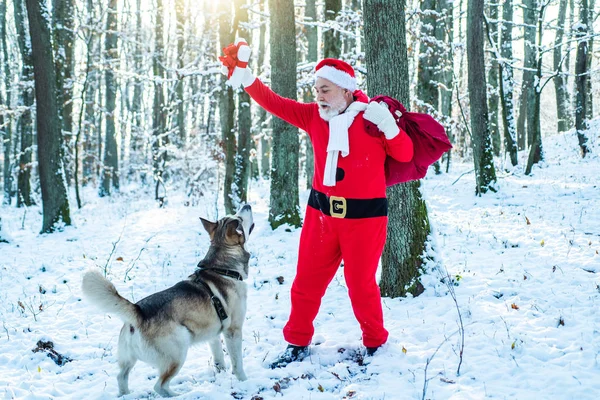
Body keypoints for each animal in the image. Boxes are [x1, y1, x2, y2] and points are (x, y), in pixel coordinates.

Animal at [81, 205, 253, 398]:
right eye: (239, 218)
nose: (247, 205)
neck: (223, 268)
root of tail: (138, 312)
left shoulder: (214, 335)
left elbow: (219, 359)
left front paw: (220, 375)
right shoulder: (233, 331)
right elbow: (237, 363)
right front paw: (243, 381)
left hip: (129, 360)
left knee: (121, 376)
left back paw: (126, 394)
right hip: (178, 353)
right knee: (159, 386)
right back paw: (179, 395)